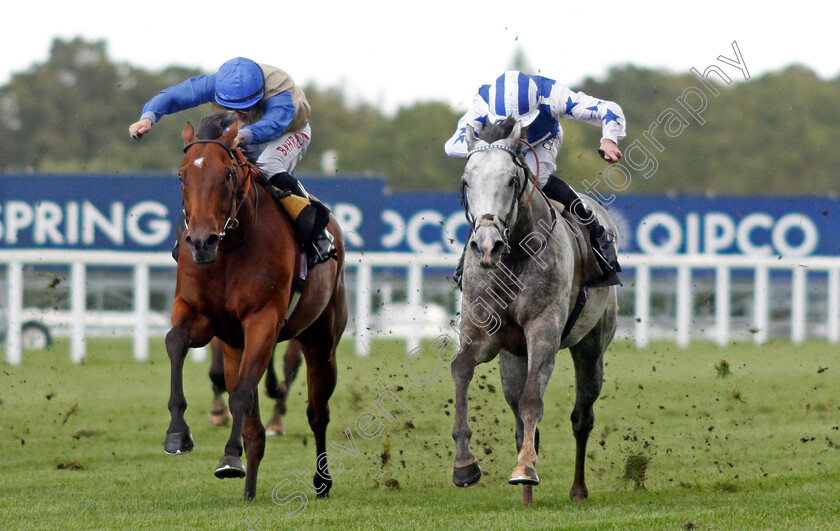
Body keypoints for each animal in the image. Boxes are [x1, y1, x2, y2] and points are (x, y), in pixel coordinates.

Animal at [164, 112, 348, 502]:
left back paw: (321, 480)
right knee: (254, 420)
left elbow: (244, 395)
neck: (230, 248)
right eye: (182, 176)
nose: (201, 241)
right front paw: (178, 432)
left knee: (317, 411)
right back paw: (249, 488)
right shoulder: (199, 315)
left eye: (227, 175)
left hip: (321, 338)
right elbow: (176, 343)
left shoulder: (262, 321)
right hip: (236, 345)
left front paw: (230, 458)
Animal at [450, 117, 620, 508]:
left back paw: (577, 488)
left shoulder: (544, 329)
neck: (514, 255)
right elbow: (461, 368)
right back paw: (527, 498)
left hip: (592, 346)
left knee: (582, 417)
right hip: (513, 358)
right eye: (466, 181)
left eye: (511, 180)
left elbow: (533, 400)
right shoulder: (483, 334)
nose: (486, 245)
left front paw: (525, 468)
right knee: (518, 415)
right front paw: (464, 465)